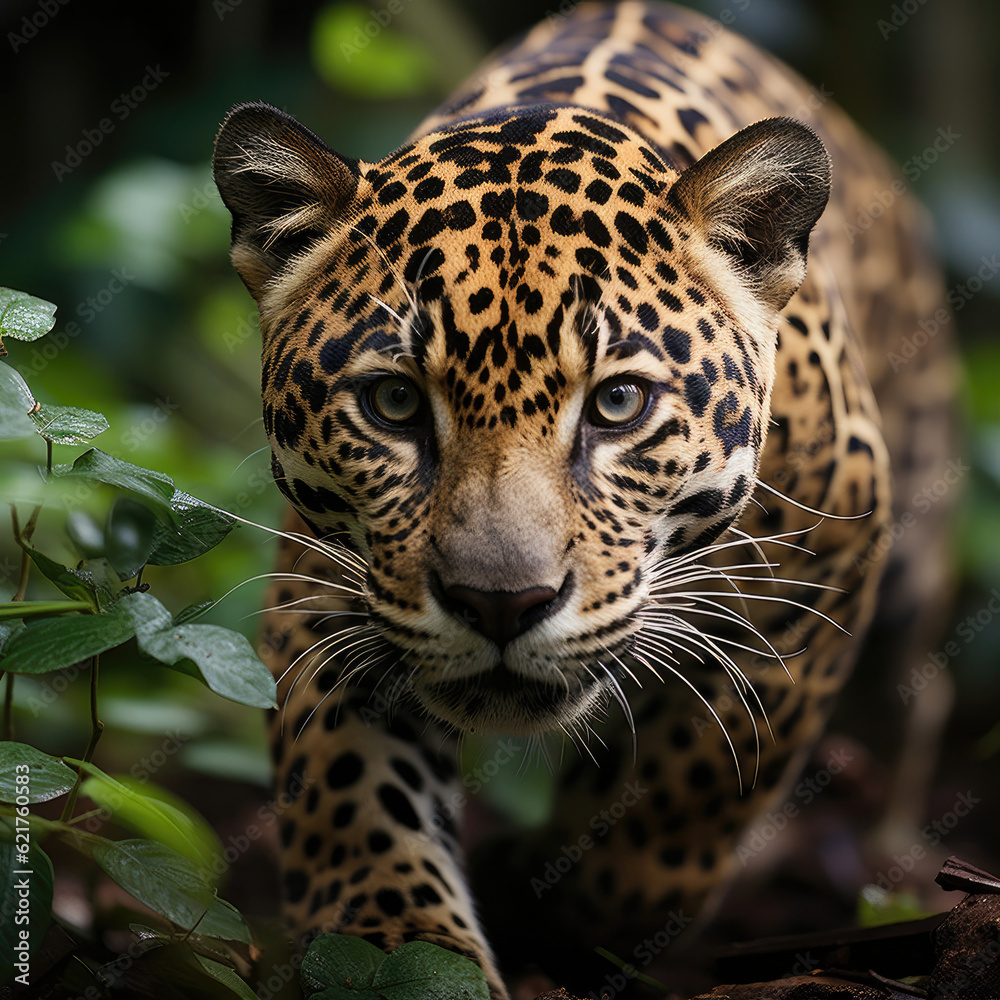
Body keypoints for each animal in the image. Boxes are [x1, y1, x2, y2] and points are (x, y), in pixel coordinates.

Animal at [212, 3, 958, 996]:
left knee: (923, 690)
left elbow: (689, 789)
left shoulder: (823, 558)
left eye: (618, 403)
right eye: (394, 403)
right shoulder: (331, 591)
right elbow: (356, 806)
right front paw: (400, 949)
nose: (500, 604)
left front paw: (568, 908)